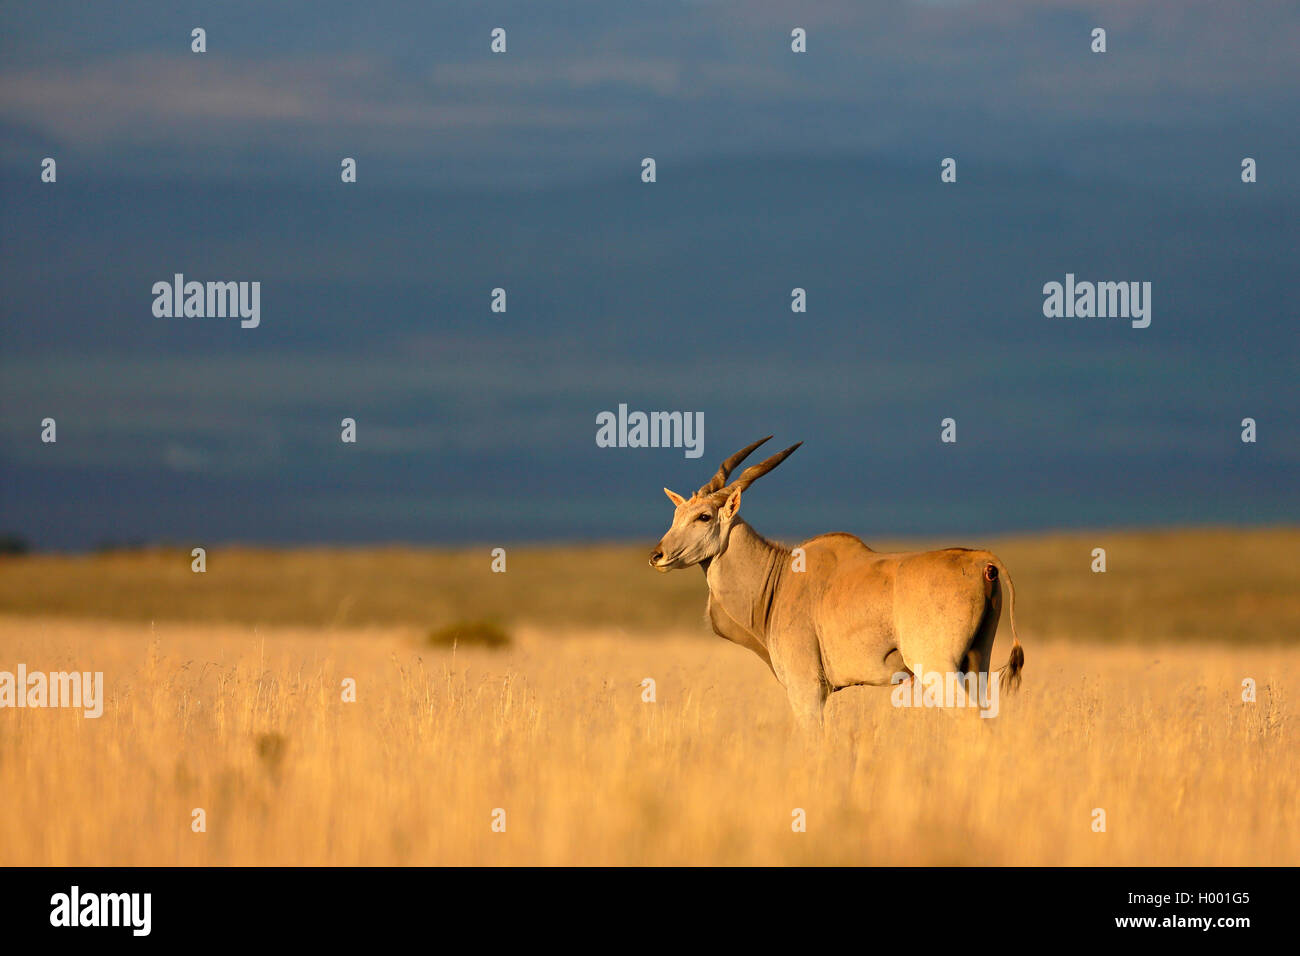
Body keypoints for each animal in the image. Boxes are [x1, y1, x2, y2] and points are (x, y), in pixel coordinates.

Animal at [650, 439, 1024, 723]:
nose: (657, 555)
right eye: (676, 514)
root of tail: (982, 561)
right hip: (976, 665)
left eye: (704, 516)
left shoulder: (807, 690)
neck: (779, 577)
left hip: (938, 669)